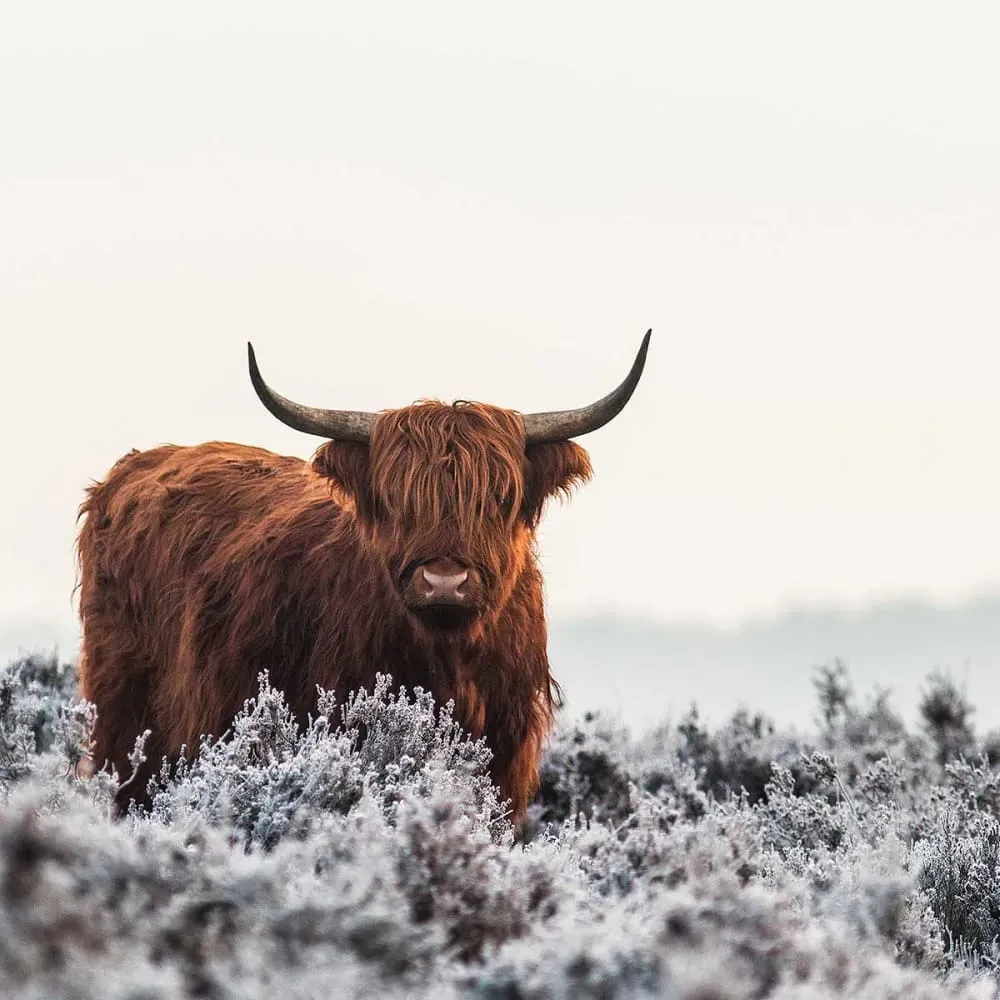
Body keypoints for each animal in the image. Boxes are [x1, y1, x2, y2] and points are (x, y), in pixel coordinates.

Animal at [75, 331, 652, 821]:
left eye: (499, 497)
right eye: (397, 499)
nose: (444, 581)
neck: (448, 658)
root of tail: (132, 469)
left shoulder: (505, 756)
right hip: (123, 715)